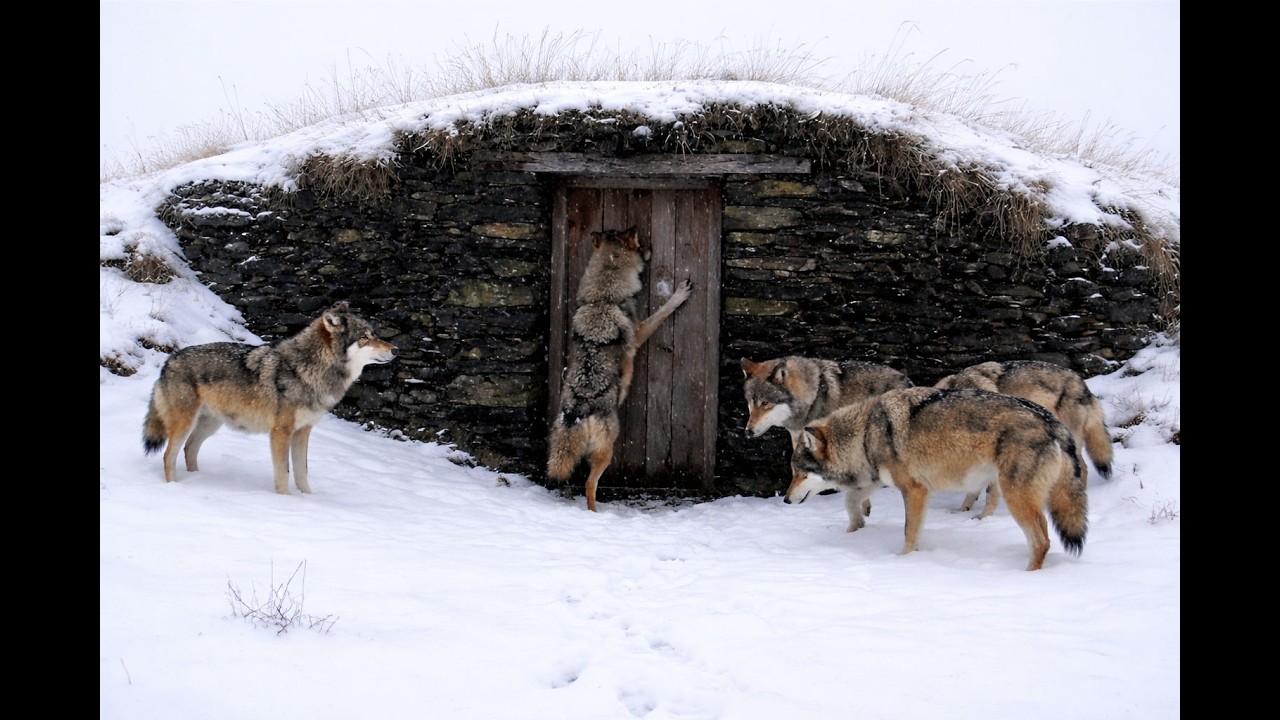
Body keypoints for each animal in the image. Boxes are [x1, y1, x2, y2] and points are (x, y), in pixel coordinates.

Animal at [142, 301, 397, 494]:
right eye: (365, 337)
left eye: (375, 334)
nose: (396, 350)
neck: (309, 369)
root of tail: (168, 361)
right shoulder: (280, 432)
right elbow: (284, 472)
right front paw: (285, 501)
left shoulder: (303, 432)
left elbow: (302, 473)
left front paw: (309, 500)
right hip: (185, 424)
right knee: (169, 455)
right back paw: (175, 488)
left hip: (210, 425)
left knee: (189, 449)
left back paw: (198, 479)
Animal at [547, 227, 693, 512]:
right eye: (640, 243)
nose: (651, 247)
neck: (604, 297)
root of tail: (577, 410)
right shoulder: (639, 333)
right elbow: (661, 312)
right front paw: (680, 294)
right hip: (607, 451)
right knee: (589, 485)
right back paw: (595, 515)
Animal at [786, 386, 1087, 571]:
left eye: (800, 472)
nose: (786, 500)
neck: (866, 433)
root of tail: (1051, 421)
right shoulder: (876, 479)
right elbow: (851, 499)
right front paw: (855, 528)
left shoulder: (914, 489)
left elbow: (909, 531)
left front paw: (903, 561)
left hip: (1017, 498)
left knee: (1042, 541)